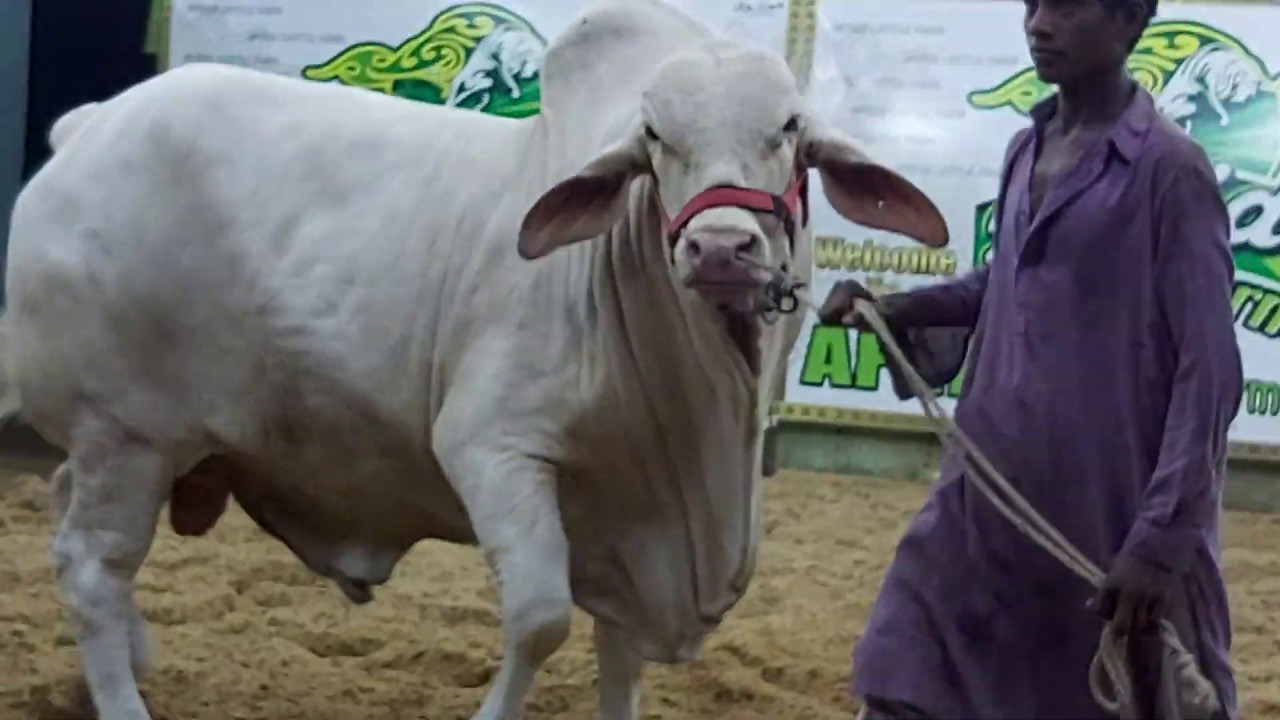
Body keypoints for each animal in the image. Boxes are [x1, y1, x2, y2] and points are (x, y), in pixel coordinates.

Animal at [0, 1, 947, 718]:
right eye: (653, 135)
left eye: (789, 129)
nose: (720, 246)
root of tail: (91, 126)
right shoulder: (495, 447)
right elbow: (539, 619)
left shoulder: (631, 521)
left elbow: (619, 654)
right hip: (126, 433)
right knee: (93, 565)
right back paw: (124, 697)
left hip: (126, 446)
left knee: (67, 515)